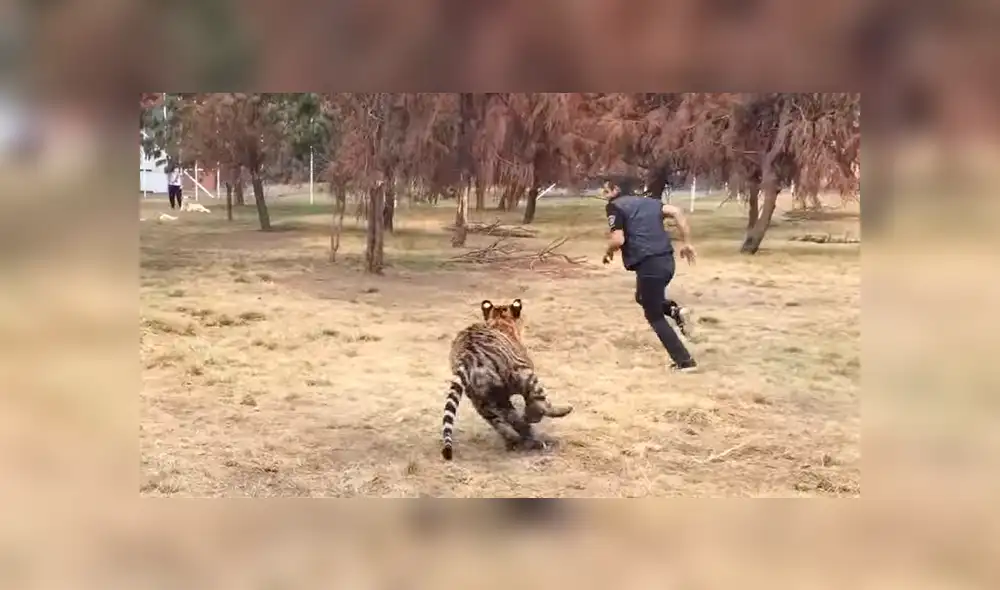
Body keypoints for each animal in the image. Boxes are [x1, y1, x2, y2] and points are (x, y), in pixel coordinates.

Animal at [441, 298, 573, 461]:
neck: (500, 319)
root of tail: (467, 355)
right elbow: (532, 405)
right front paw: (532, 417)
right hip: (522, 375)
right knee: (537, 404)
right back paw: (557, 415)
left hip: (482, 398)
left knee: (504, 421)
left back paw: (518, 441)